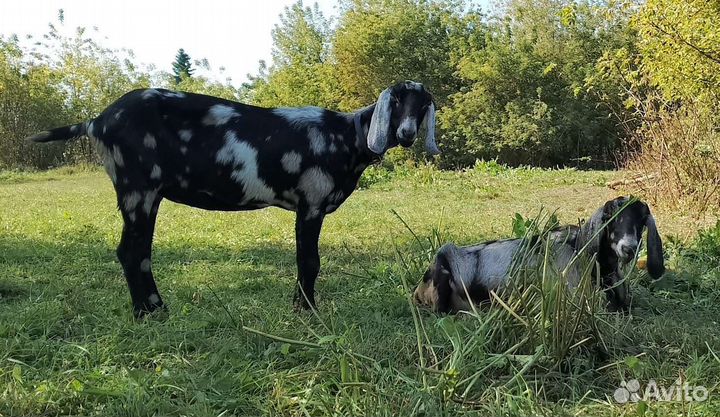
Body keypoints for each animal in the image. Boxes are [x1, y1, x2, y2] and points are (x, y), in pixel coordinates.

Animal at [29, 81, 439, 317]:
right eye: (396, 101)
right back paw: (152, 312)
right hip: (137, 189)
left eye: (423, 106)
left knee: (135, 251)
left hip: (144, 193)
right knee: (132, 252)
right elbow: (310, 261)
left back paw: (149, 310)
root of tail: (96, 120)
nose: (405, 133)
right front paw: (307, 313)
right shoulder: (311, 203)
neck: (346, 135)